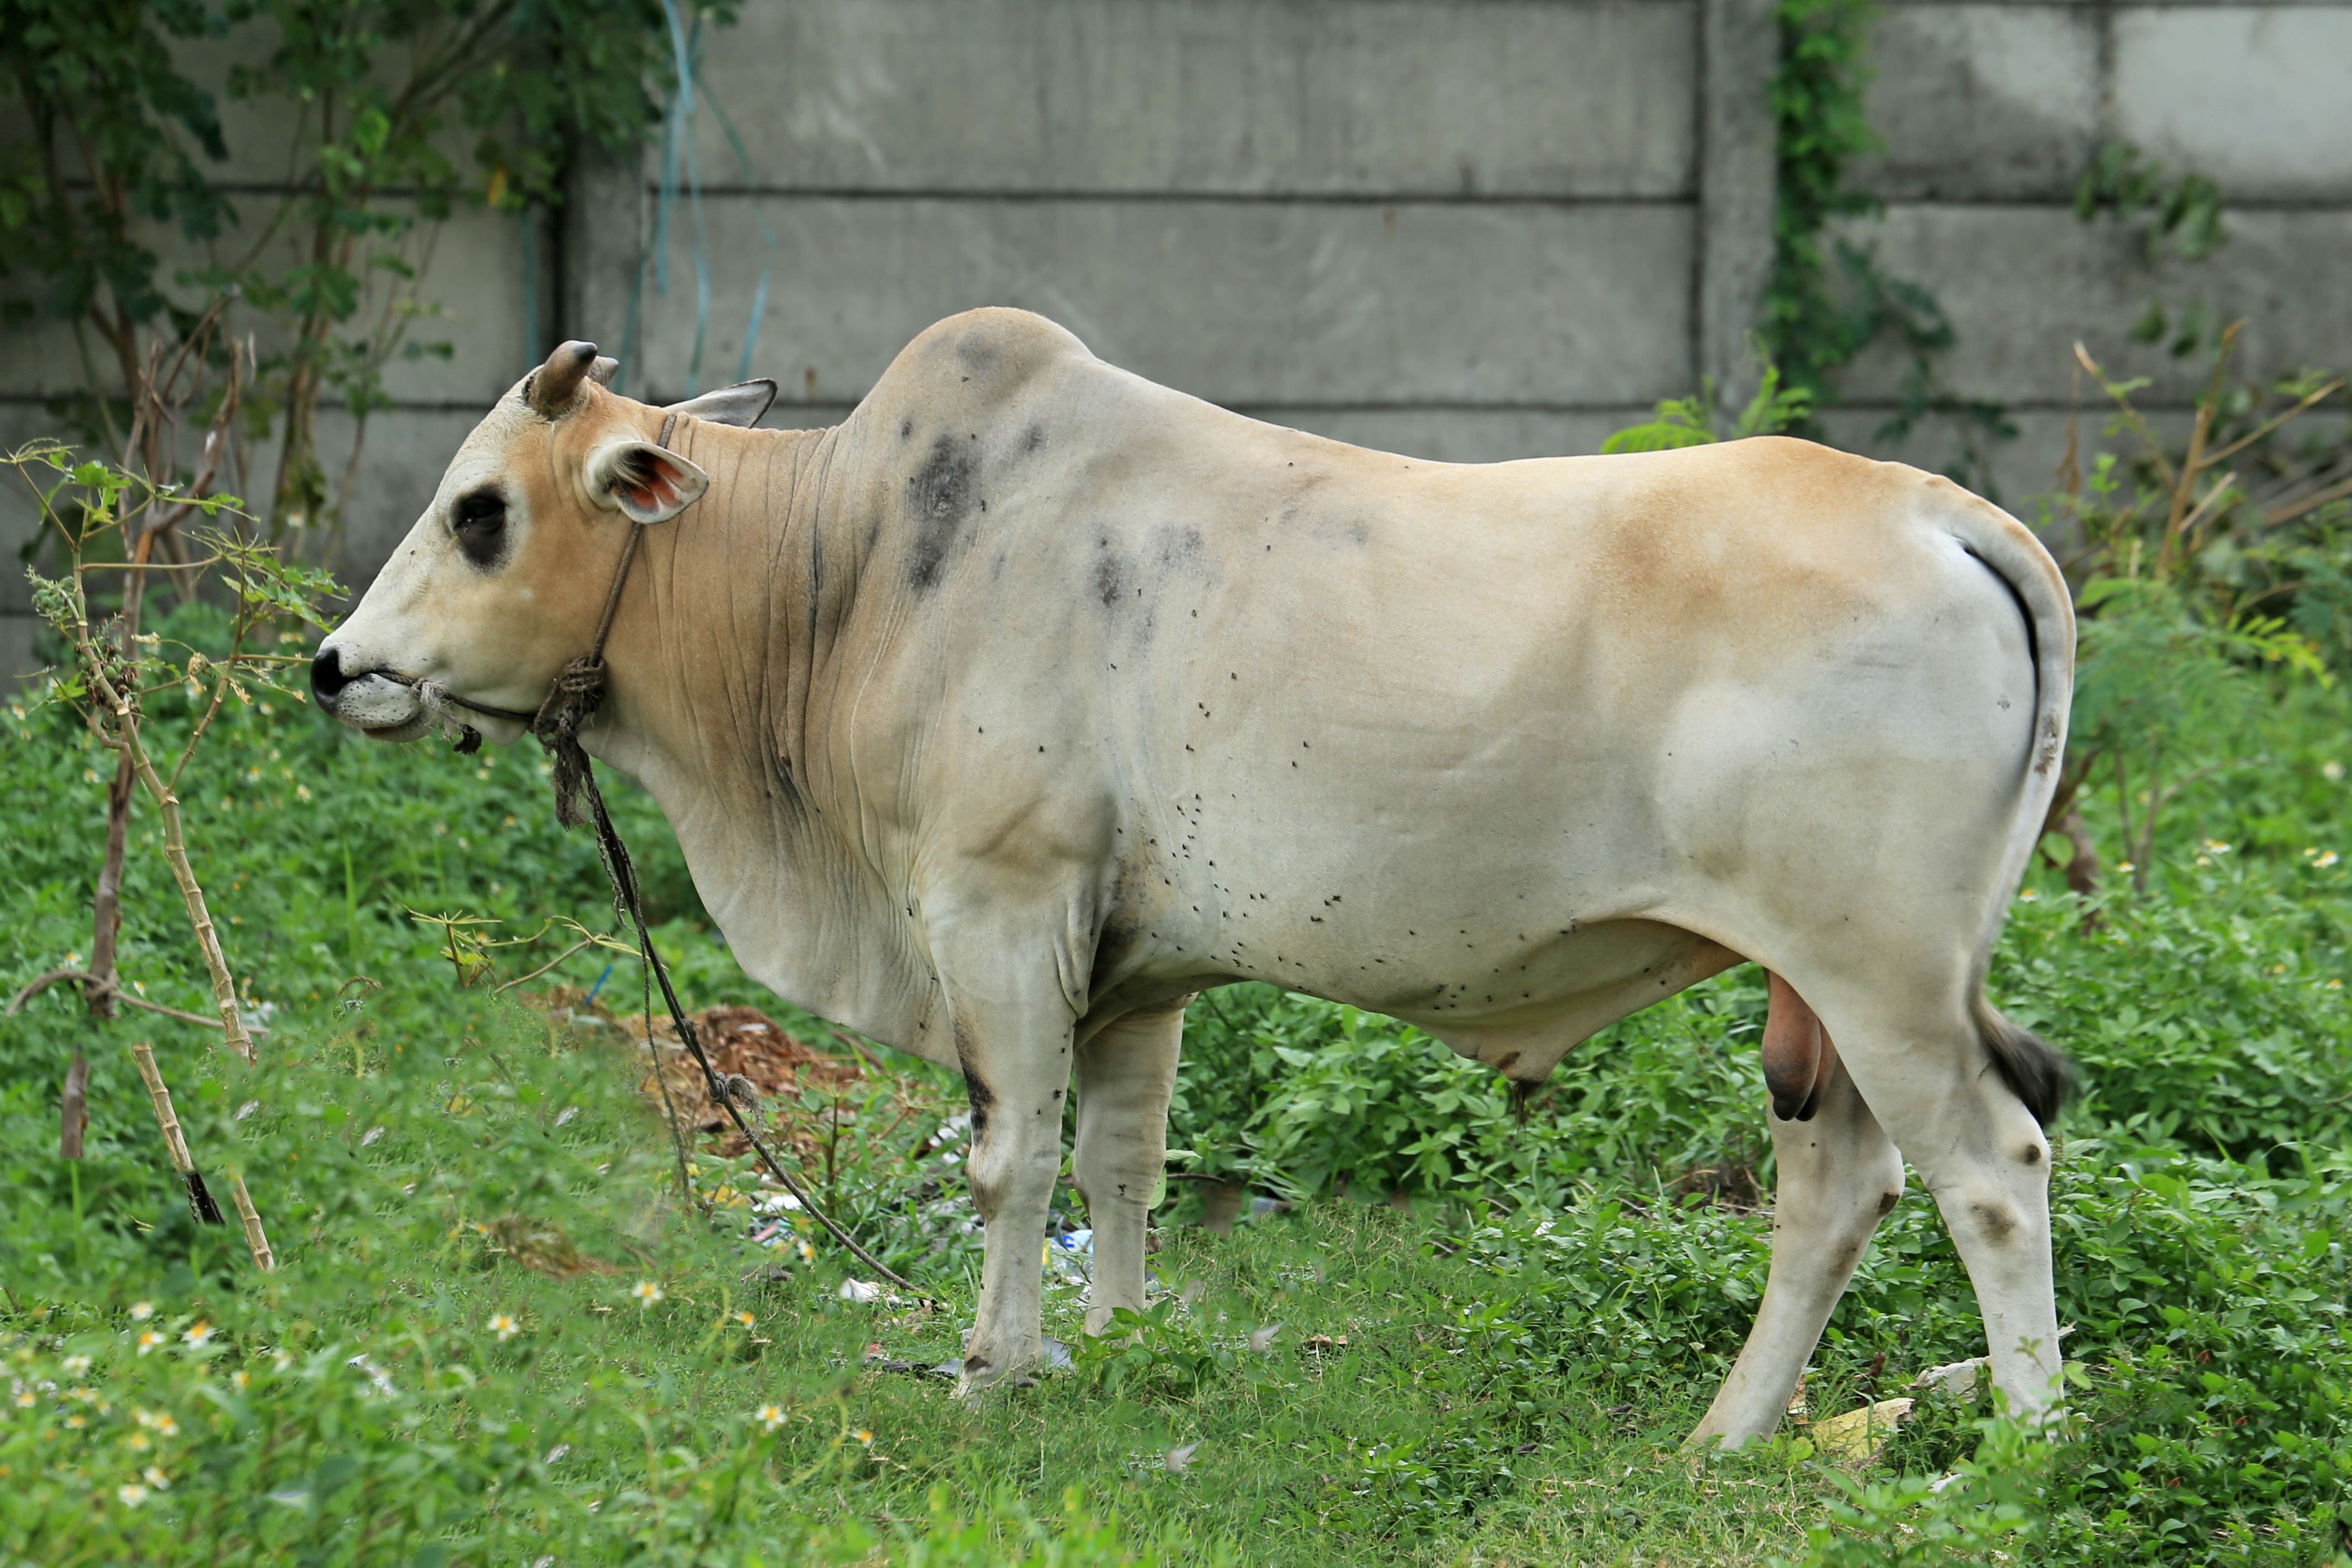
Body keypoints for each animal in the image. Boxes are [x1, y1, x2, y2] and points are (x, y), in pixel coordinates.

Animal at [313, 310, 2075, 1446]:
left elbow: (1010, 1164)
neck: (851, 567)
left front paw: (988, 1372)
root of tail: (1953, 516)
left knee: (1991, 1168)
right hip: (1815, 994)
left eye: (480, 511)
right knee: (1838, 1189)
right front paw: (1103, 1352)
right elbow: (1120, 1168)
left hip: (1884, 975)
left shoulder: (998, 909)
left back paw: (2025, 1446)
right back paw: (1729, 1435)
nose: (337, 666)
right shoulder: (1130, 971)